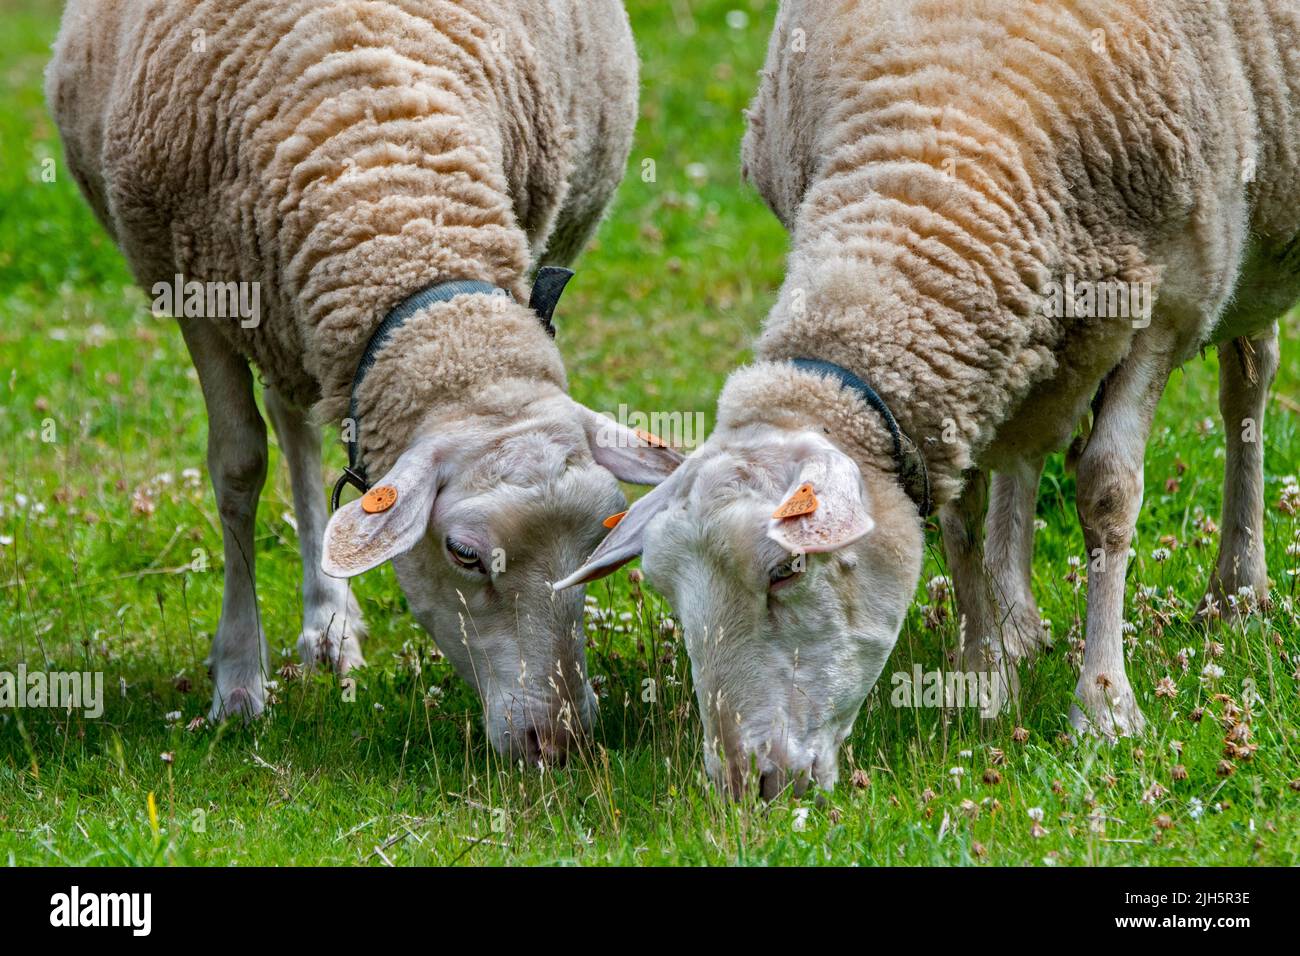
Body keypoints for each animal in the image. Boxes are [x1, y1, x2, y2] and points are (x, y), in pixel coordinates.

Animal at [47, 0, 681, 762]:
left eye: (598, 544)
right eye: (464, 554)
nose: (557, 744)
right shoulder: (191, 288)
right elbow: (238, 467)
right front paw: (238, 683)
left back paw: (329, 623)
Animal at [559, 0, 1300, 797]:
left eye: (786, 571)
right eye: (669, 592)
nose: (743, 784)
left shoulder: (1167, 306)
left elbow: (1108, 494)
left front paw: (1104, 707)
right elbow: (960, 517)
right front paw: (981, 676)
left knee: (1247, 383)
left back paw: (1237, 590)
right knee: (1022, 452)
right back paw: (1017, 620)